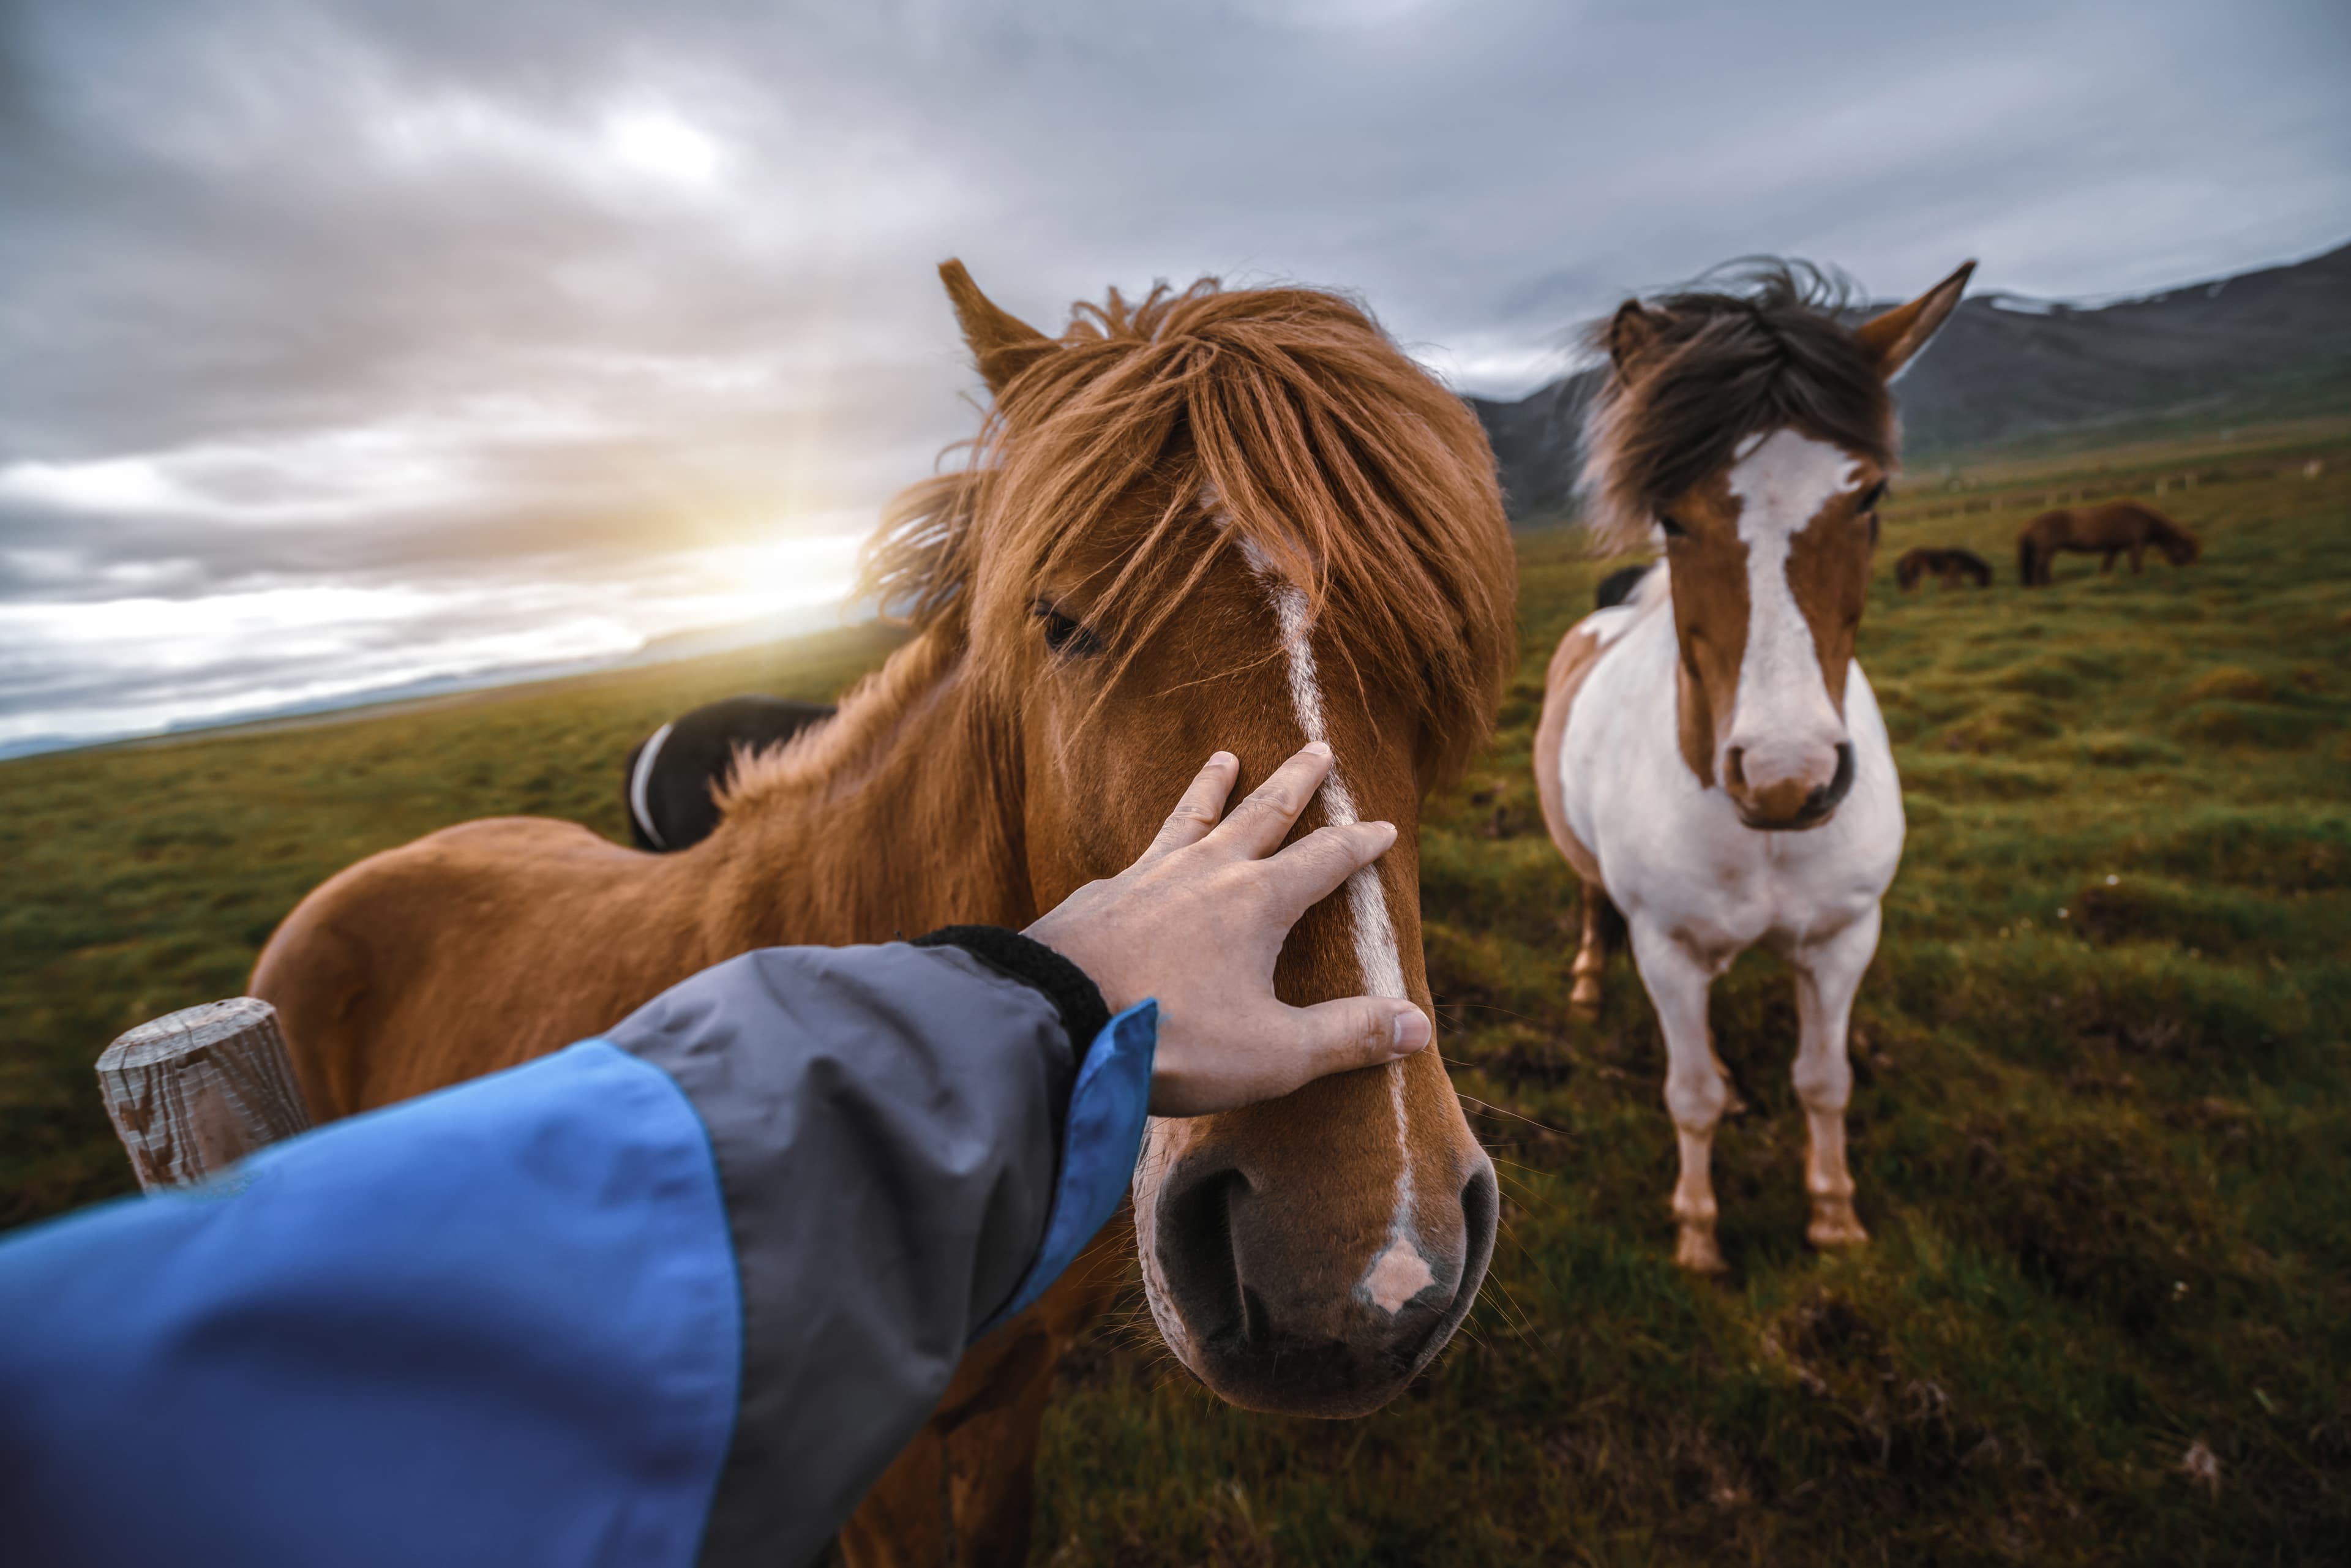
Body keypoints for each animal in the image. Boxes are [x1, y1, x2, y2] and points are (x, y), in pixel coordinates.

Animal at [1533, 259, 1973, 1272]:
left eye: (1870, 496)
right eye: (1671, 515)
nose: (1786, 777)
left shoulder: (1847, 939)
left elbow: (1824, 1080)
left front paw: (1835, 1216)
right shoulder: (1665, 950)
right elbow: (1687, 1095)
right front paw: (1698, 1236)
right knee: (1589, 899)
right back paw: (1587, 981)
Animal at [1895, 546, 1991, 591]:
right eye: (1987, 575)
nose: (1989, 586)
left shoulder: (1949, 573)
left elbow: (1948, 583)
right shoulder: (1953, 573)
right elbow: (1955, 583)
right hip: (1914, 573)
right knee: (1910, 584)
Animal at [2016, 500, 2200, 586]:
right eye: (2189, 550)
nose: (2193, 568)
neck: (2142, 519)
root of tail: (2029, 524)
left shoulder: (2114, 547)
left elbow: (2107, 565)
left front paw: (2104, 578)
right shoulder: (2136, 545)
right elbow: (2136, 563)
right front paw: (2139, 577)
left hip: (2049, 551)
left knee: (2043, 567)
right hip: (2045, 551)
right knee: (2039, 567)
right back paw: (2042, 585)